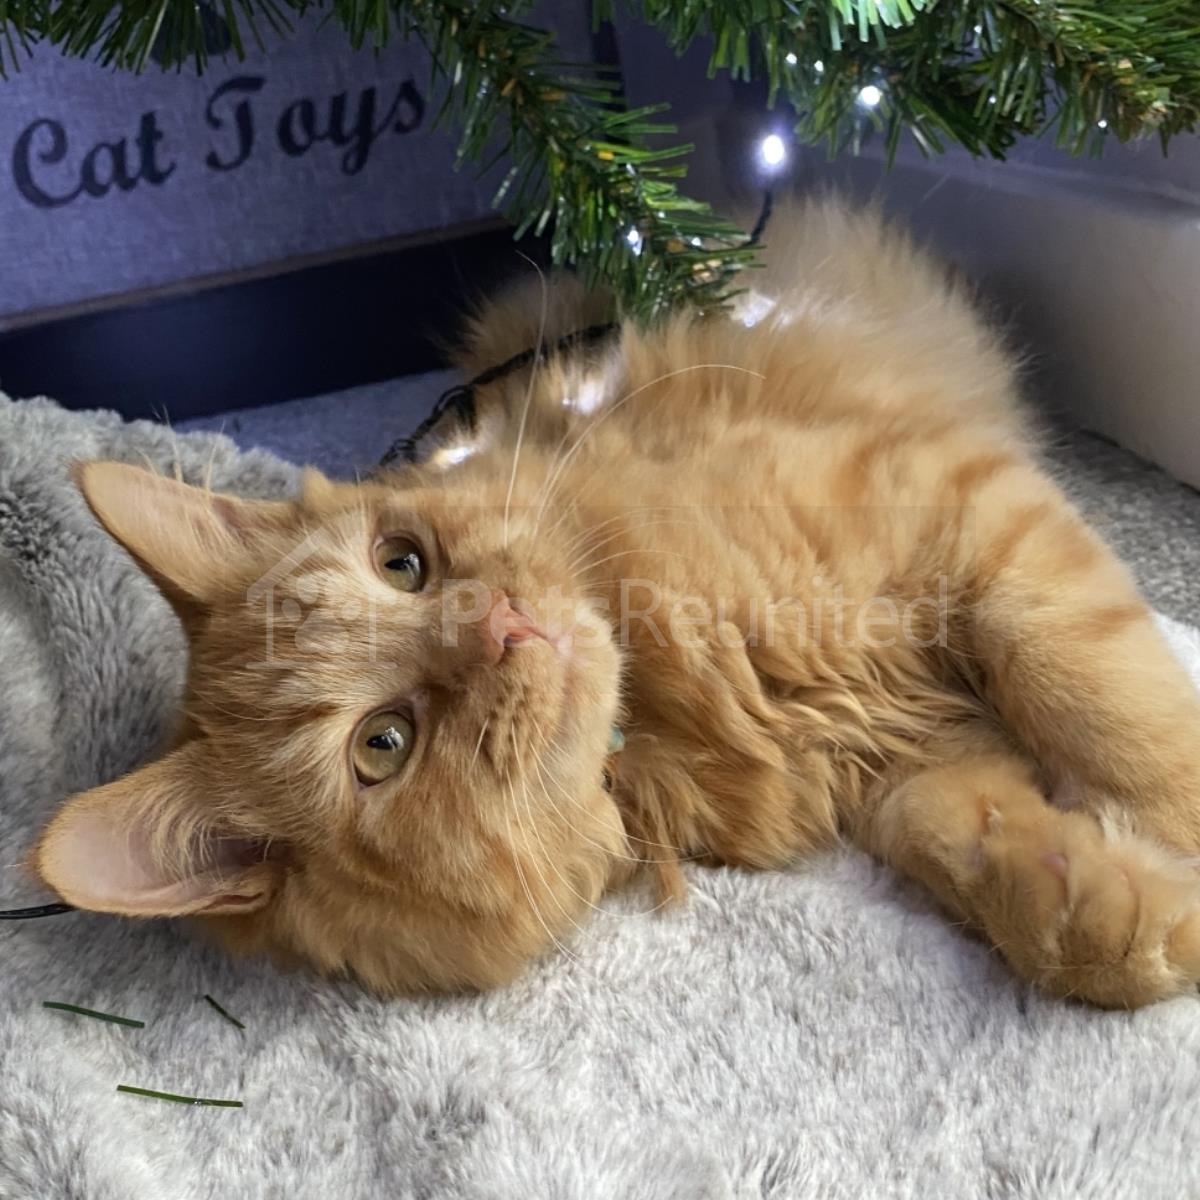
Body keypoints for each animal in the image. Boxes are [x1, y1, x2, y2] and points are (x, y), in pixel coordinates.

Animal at [32, 199, 1200, 1008]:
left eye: (402, 565)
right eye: (383, 745)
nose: (501, 622)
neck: (677, 695)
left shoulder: (964, 513)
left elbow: (1108, 708)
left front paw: (1165, 837)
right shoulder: (900, 760)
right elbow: (981, 844)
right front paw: (1112, 910)